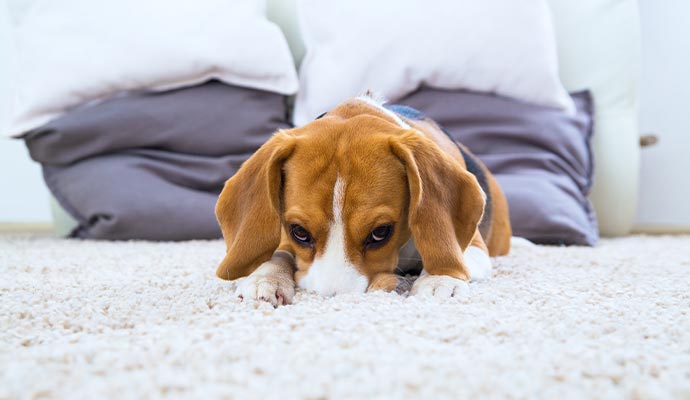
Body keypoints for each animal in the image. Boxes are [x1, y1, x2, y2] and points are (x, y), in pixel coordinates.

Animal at [215, 94, 510, 306]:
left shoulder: (475, 247)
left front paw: (440, 280)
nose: (335, 300)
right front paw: (264, 277)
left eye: (380, 233)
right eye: (299, 232)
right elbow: (278, 253)